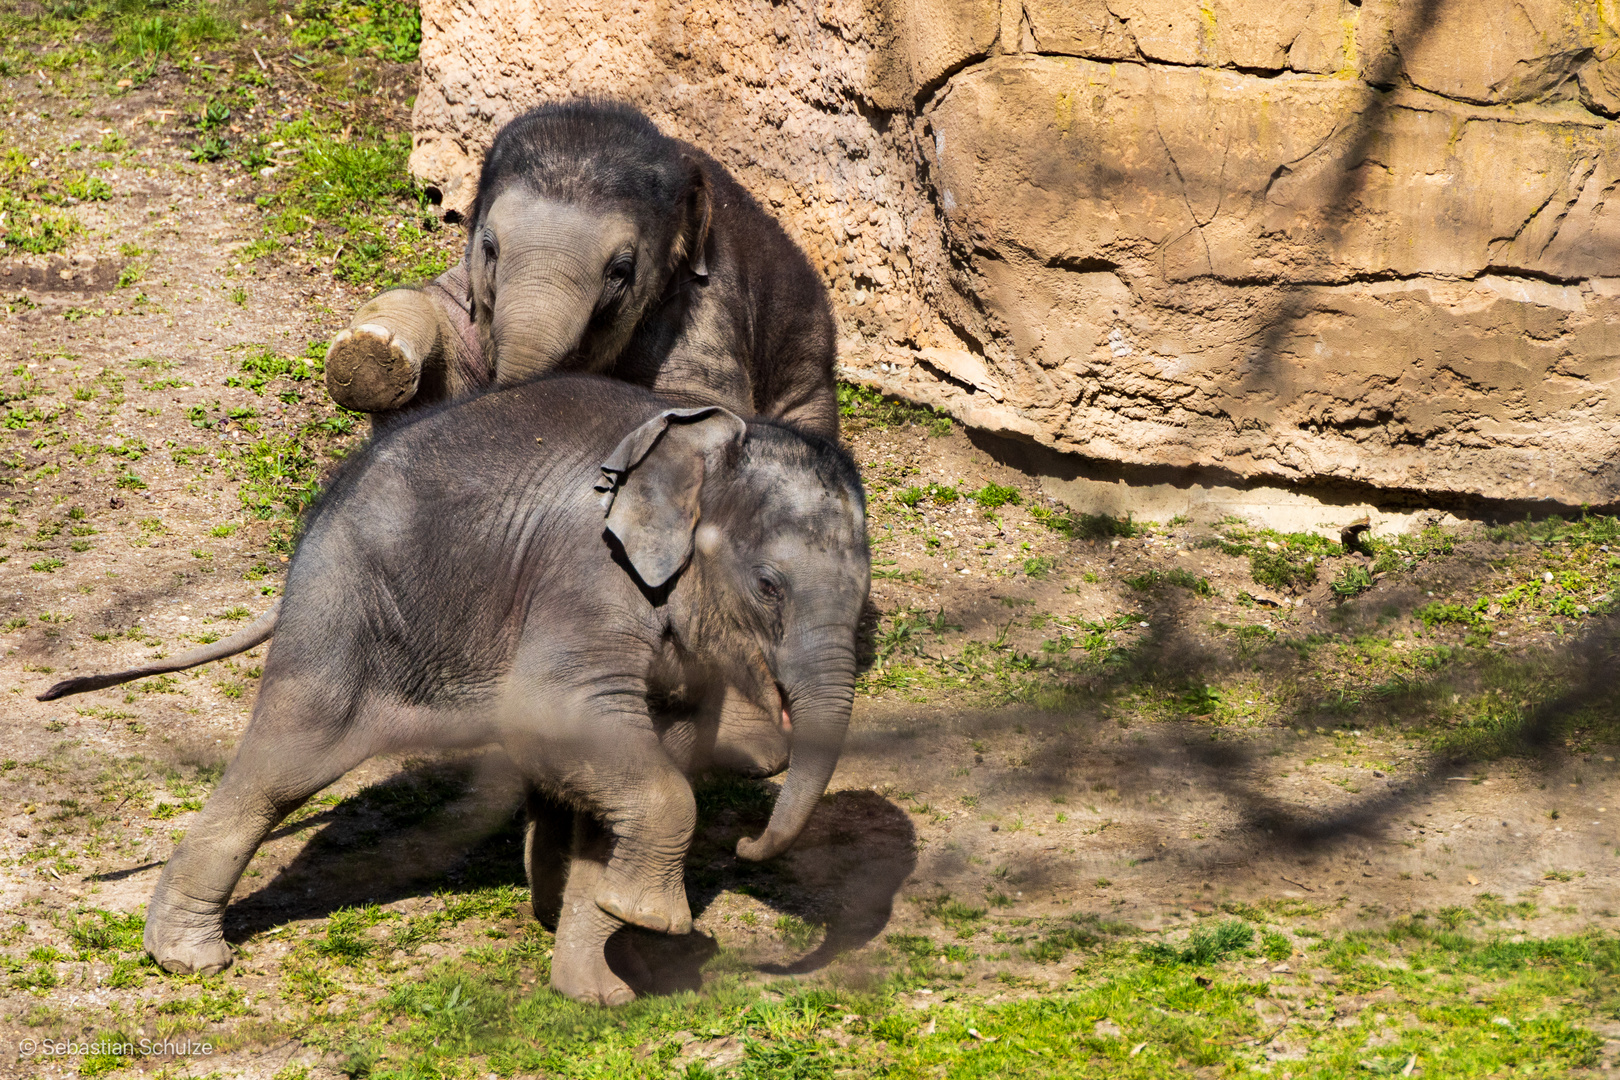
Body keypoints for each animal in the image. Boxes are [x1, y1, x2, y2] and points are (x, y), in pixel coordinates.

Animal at [142, 374, 874, 1003]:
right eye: (769, 586)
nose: (749, 846)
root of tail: (325, 502)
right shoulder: (588, 571)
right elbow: (553, 714)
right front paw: (655, 921)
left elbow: (650, 759)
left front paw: (603, 989)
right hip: (346, 604)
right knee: (286, 763)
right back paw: (187, 958)